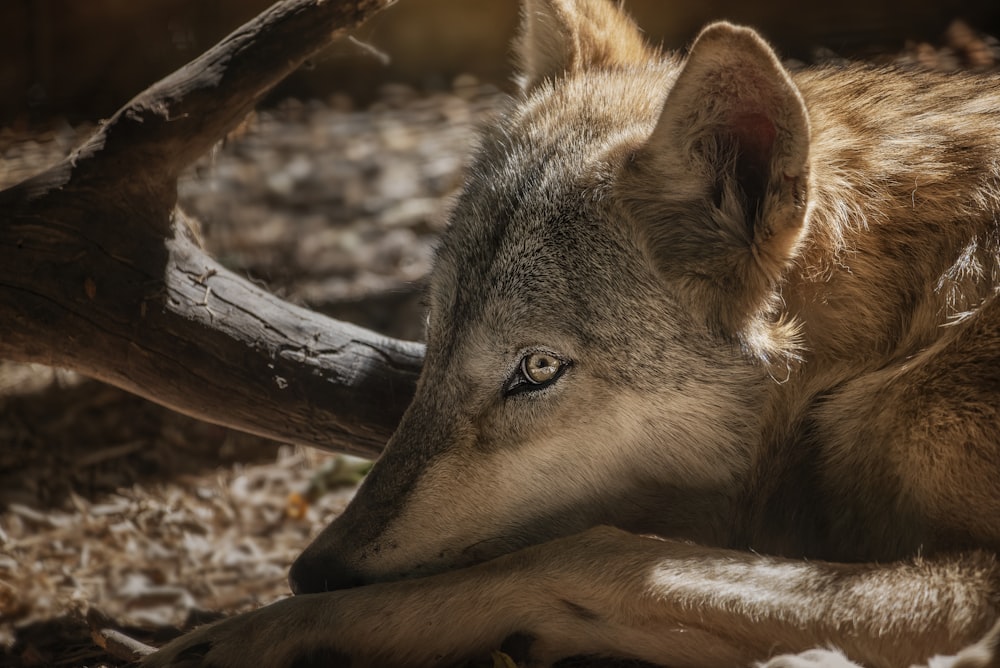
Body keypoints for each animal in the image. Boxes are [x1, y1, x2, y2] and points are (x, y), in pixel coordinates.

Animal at [146, 0, 1000, 664]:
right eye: (435, 338)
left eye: (537, 370)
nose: (311, 572)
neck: (902, 328)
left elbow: (586, 554)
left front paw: (262, 633)